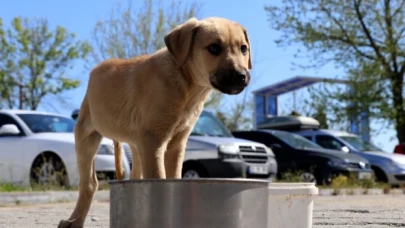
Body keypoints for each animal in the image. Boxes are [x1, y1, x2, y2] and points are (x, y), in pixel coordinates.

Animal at [58, 16, 251, 227]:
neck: (187, 85)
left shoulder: (175, 145)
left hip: (136, 144)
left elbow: (173, 177)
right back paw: (74, 220)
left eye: (243, 49)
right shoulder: (154, 141)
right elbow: (159, 179)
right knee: (89, 184)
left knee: (134, 176)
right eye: (214, 48)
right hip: (86, 135)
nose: (242, 76)